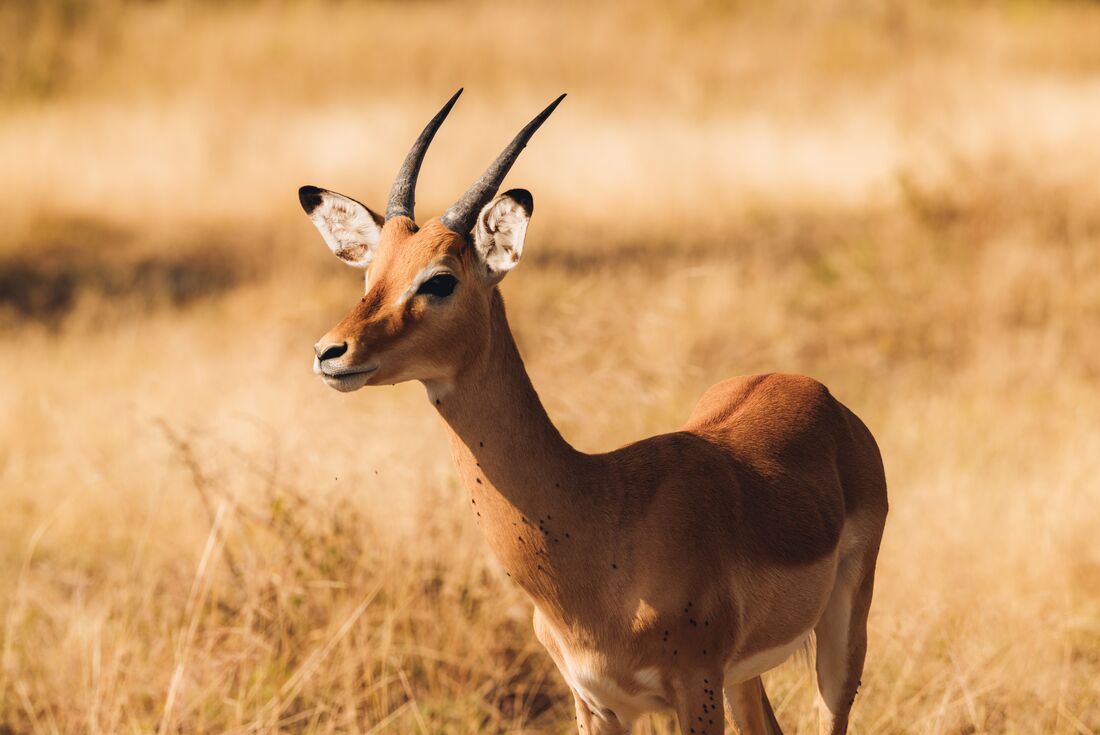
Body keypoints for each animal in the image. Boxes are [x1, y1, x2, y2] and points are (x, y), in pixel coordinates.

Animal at [300, 90, 888, 735]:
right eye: (371, 274)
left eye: (439, 280)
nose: (330, 352)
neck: (600, 513)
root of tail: (816, 391)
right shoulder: (594, 700)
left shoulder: (695, 688)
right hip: (745, 677)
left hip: (838, 643)